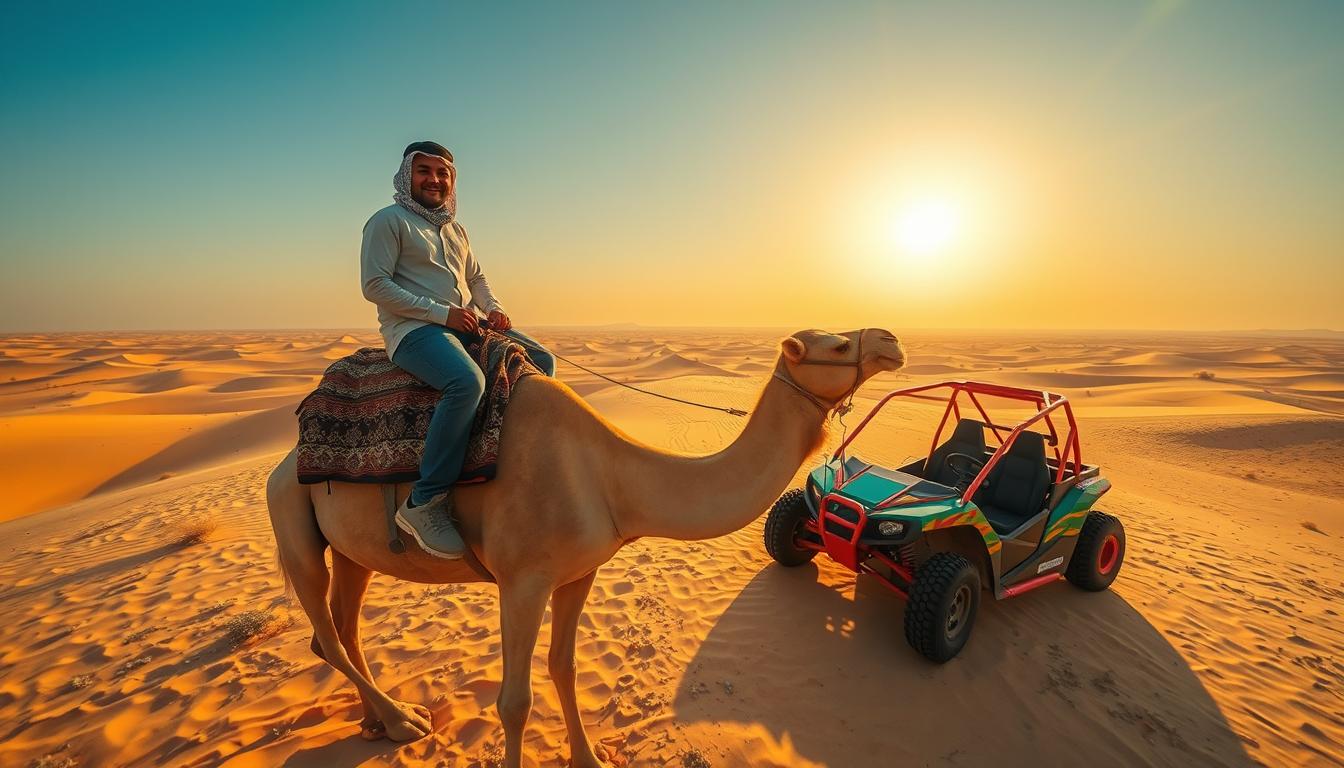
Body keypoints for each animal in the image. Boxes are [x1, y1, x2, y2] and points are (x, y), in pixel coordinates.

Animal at [265, 327, 905, 767]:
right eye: (838, 344)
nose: (890, 340)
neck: (609, 477)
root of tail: (283, 459)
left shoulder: (580, 572)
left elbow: (564, 667)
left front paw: (588, 757)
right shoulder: (522, 581)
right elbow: (514, 701)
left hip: (353, 550)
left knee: (344, 623)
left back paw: (381, 723)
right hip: (289, 515)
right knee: (325, 635)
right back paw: (404, 723)